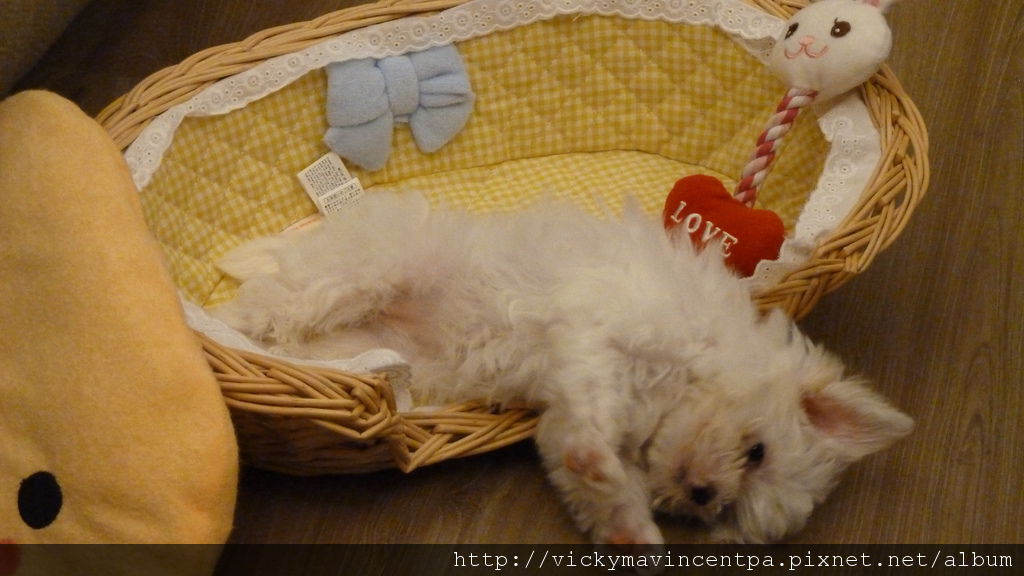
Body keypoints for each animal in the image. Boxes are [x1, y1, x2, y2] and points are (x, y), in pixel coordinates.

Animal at [213, 191, 913, 544]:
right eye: (757, 452)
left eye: (720, 516)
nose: (703, 493)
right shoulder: (597, 337)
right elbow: (596, 404)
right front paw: (607, 467)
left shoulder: (560, 415)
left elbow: (589, 468)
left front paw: (629, 524)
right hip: (369, 270)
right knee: (277, 303)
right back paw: (244, 329)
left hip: (373, 347)